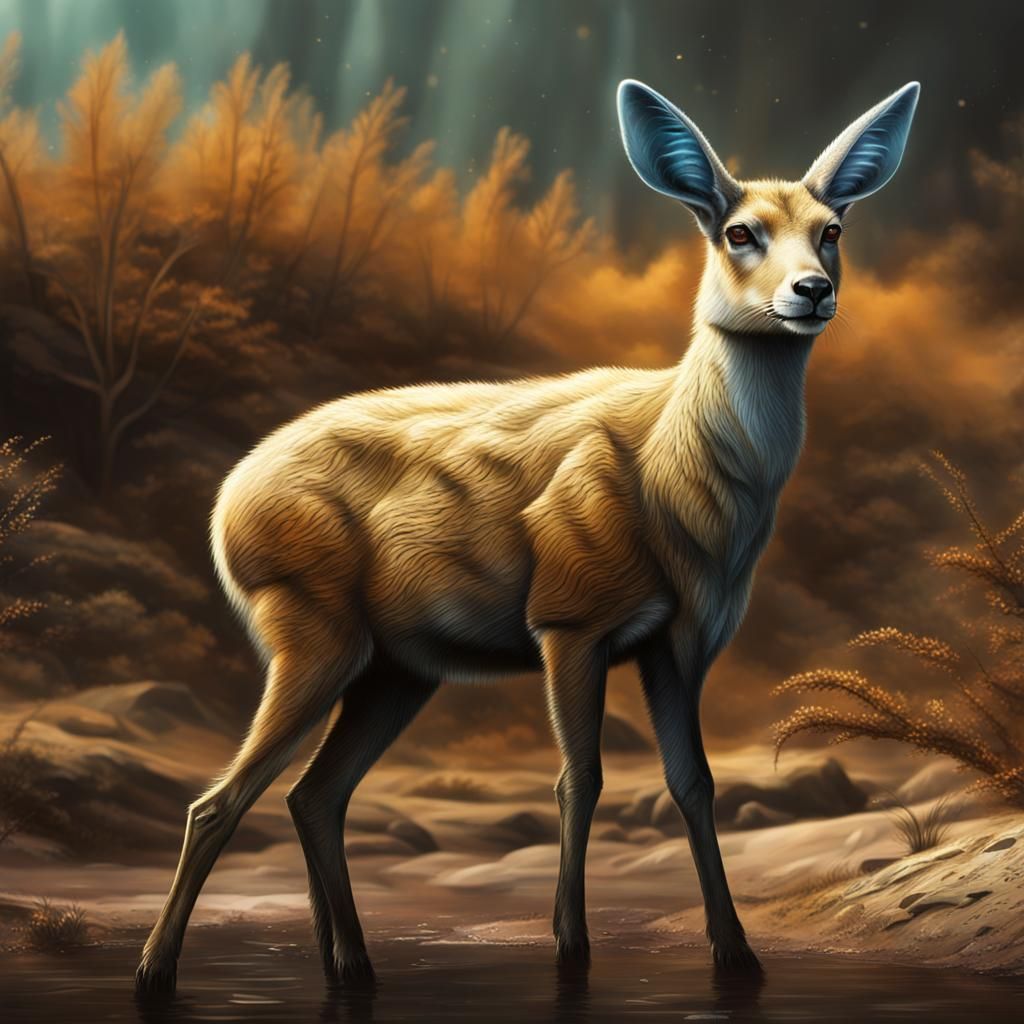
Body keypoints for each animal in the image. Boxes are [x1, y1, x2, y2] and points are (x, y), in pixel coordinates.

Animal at [136, 78, 919, 994]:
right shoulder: (569, 618)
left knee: (314, 795)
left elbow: (693, 783)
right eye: (739, 232)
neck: (681, 482)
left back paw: (352, 966)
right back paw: (156, 972)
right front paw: (571, 951)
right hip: (311, 629)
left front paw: (737, 954)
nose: (811, 290)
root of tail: (226, 509)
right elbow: (579, 780)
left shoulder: (682, 644)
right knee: (217, 802)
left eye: (832, 230)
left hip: (397, 668)